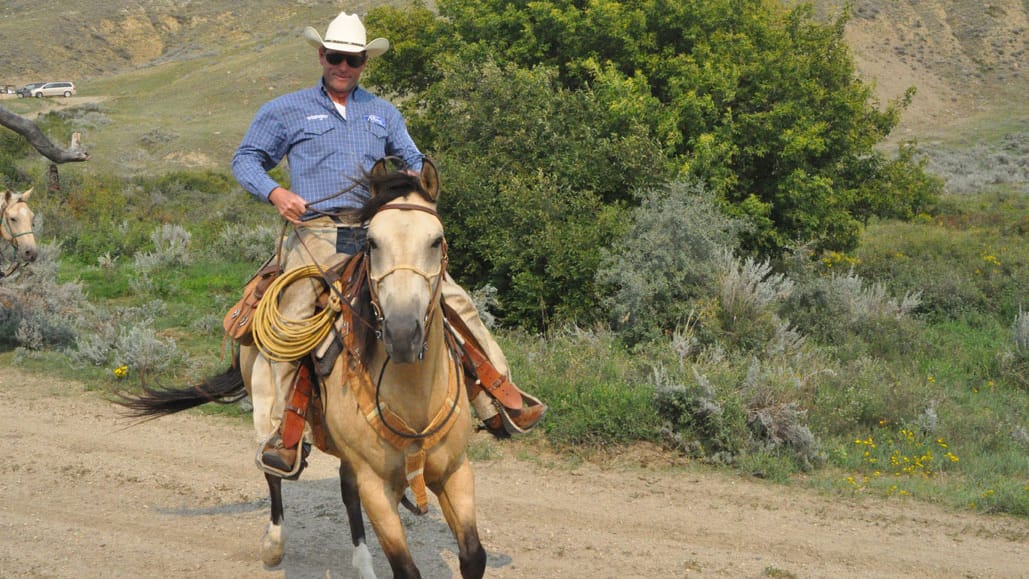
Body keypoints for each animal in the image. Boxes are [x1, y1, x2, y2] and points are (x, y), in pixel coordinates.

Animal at [118, 158, 487, 579]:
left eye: (436, 240)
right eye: (372, 243)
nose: (403, 333)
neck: (414, 398)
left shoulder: (456, 472)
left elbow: (473, 556)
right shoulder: (377, 488)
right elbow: (406, 568)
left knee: (346, 489)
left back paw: (362, 563)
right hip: (267, 401)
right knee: (272, 466)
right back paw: (274, 543)